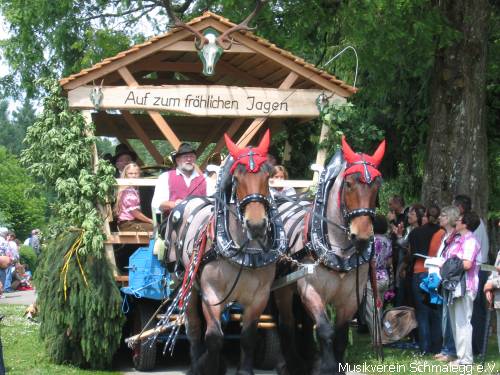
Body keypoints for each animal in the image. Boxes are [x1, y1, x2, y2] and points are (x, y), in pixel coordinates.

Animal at [163, 130, 286, 375]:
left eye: (268, 177)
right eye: (236, 178)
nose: (256, 225)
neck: (245, 250)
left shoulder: (259, 298)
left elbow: (247, 337)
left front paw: (244, 369)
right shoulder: (212, 294)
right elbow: (214, 337)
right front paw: (208, 366)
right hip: (186, 285)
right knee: (193, 328)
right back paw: (195, 362)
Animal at [274, 137, 386, 374]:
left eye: (377, 185)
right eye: (350, 183)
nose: (362, 236)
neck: (339, 249)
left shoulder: (351, 297)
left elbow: (341, 335)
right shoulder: (310, 289)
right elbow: (326, 329)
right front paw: (326, 366)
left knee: (304, 323)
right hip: (283, 289)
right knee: (286, 324)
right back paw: (292, 363)